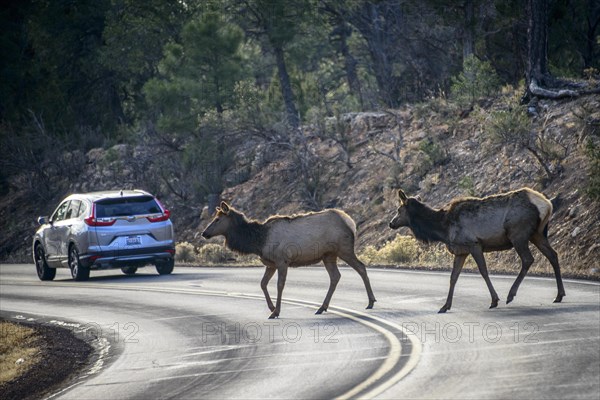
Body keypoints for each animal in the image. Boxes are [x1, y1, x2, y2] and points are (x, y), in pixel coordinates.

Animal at [202, 203, 376, 318]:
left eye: (217, 219)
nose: (204, 233)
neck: (258, 241)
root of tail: (351, 223)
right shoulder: (270, 264)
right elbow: (263, 284)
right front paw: (272, 307)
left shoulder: (282, 261)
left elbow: (279, 285)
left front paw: (275, 311)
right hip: (328, 255)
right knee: (336, 276)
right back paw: (322, 307)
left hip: (344, 249)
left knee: (361, 267)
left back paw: (371, 301)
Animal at [386, 188, 564, 312]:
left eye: (399, 210)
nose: (391, 223)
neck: (443, 229)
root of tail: (547, 205)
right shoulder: (461, 250)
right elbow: (453, 277)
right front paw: (445, 306)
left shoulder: (474, 244)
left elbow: (483, 271)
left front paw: (494, 300)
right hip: (537, 234)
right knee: (553, 255)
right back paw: (559, 295)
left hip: (518, 233)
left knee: (528, 259)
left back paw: (510, 295)